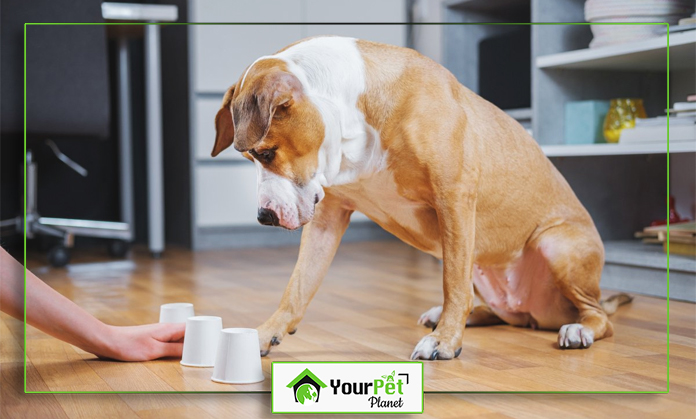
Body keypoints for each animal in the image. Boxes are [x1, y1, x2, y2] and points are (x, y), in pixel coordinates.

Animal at [209, 37, 628, 360]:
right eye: (251, 158)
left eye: (265, 153)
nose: (263, 216)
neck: (354, 115)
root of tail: (538, 313)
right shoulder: (327, 218)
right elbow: (297, 287)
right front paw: (264, 333)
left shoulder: (454, 198)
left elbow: (452, 283)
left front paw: (444, 342)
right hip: (486, 266)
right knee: (500, 310)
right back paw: (460, 315)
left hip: (556, 245)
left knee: (598, 317)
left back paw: (577, 330)